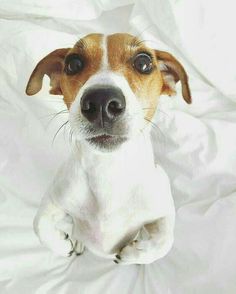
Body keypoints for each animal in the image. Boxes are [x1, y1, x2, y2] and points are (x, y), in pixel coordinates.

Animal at [25, 33, 191, 266]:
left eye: (144, 63)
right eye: (73, 63)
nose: (101, 101)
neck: (107, 171)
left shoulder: (162, 210)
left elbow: (164, 241)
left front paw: (132, 254)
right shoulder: (55, 199)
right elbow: (39, 223)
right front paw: (62, 245)